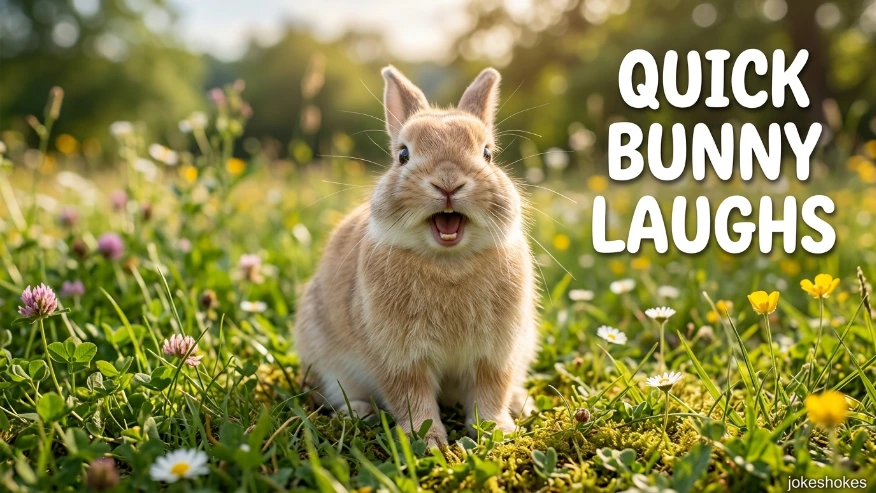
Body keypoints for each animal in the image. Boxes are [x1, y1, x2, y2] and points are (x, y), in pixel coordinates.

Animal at [295, 65, 537, 448]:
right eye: (403, 155)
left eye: (488, 154)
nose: (448, 182)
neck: (449, 261)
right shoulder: (400, 358)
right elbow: (412, 398)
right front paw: (428, 441)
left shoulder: (496, 355)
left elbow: (490, 393)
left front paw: (495, 432)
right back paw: (357, 412)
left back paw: (520, 403)